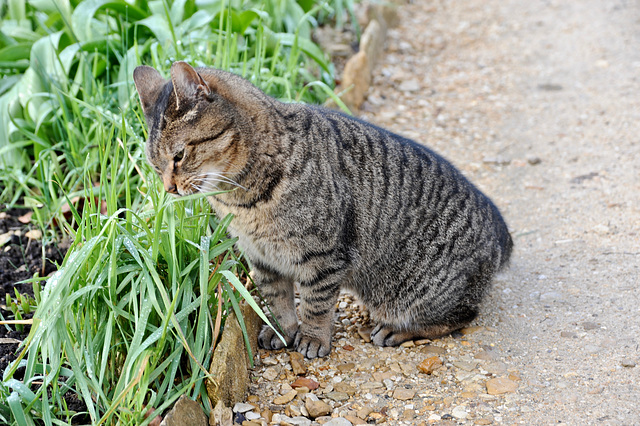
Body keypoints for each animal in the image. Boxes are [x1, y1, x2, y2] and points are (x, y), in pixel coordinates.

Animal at [132, 60, 512, 360]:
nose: (169, 188)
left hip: (412, 291)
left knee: (462, 315)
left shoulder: (323, 255)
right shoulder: (261, 258)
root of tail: (499, 230)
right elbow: (277, 300)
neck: (239, 199)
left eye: (179, 156)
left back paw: (398, 329)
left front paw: (313, 338)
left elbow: (315, 303)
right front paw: (283, 329)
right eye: (154, 166)